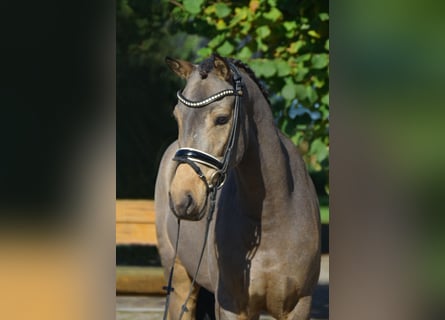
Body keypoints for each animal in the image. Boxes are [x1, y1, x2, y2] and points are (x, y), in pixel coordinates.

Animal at [155, 55, 320, 320]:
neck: (272, 215)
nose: (183, 198)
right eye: (177, 117)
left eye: (222, 119)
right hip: (179, 277)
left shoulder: (299, 306)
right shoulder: (231, 306)